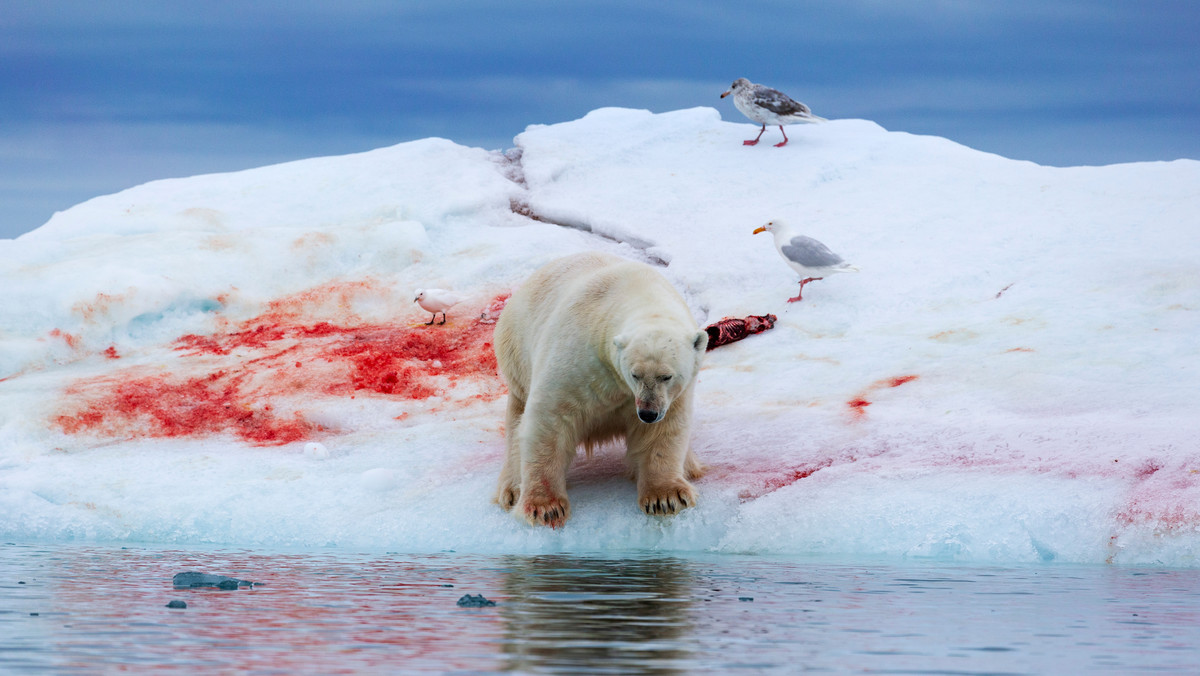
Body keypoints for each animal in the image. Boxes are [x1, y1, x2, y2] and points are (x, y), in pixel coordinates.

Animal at [492, 249, 705, 528]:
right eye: (635, 374)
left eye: (667, 376)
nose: (647, 413)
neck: (638, 292)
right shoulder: (580, 356)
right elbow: (549, 419)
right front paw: (545, 507)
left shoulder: (671, 396)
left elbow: (663, 431)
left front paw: (666, 497)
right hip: (517, 356)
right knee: (517, 421)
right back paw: (511, 490)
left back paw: (690, 466)